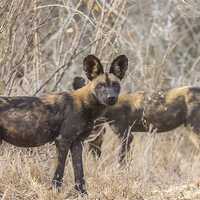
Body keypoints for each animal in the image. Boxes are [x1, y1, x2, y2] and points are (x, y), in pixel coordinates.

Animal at [0, 54, 128, 194]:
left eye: (115, 85)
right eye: (100, 86)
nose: (111, 97)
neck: (85, 105)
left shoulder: (77, 142)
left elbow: (79, 173)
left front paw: (82, 193)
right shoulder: (63, 141)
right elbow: (59, 172)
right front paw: (54, 192)